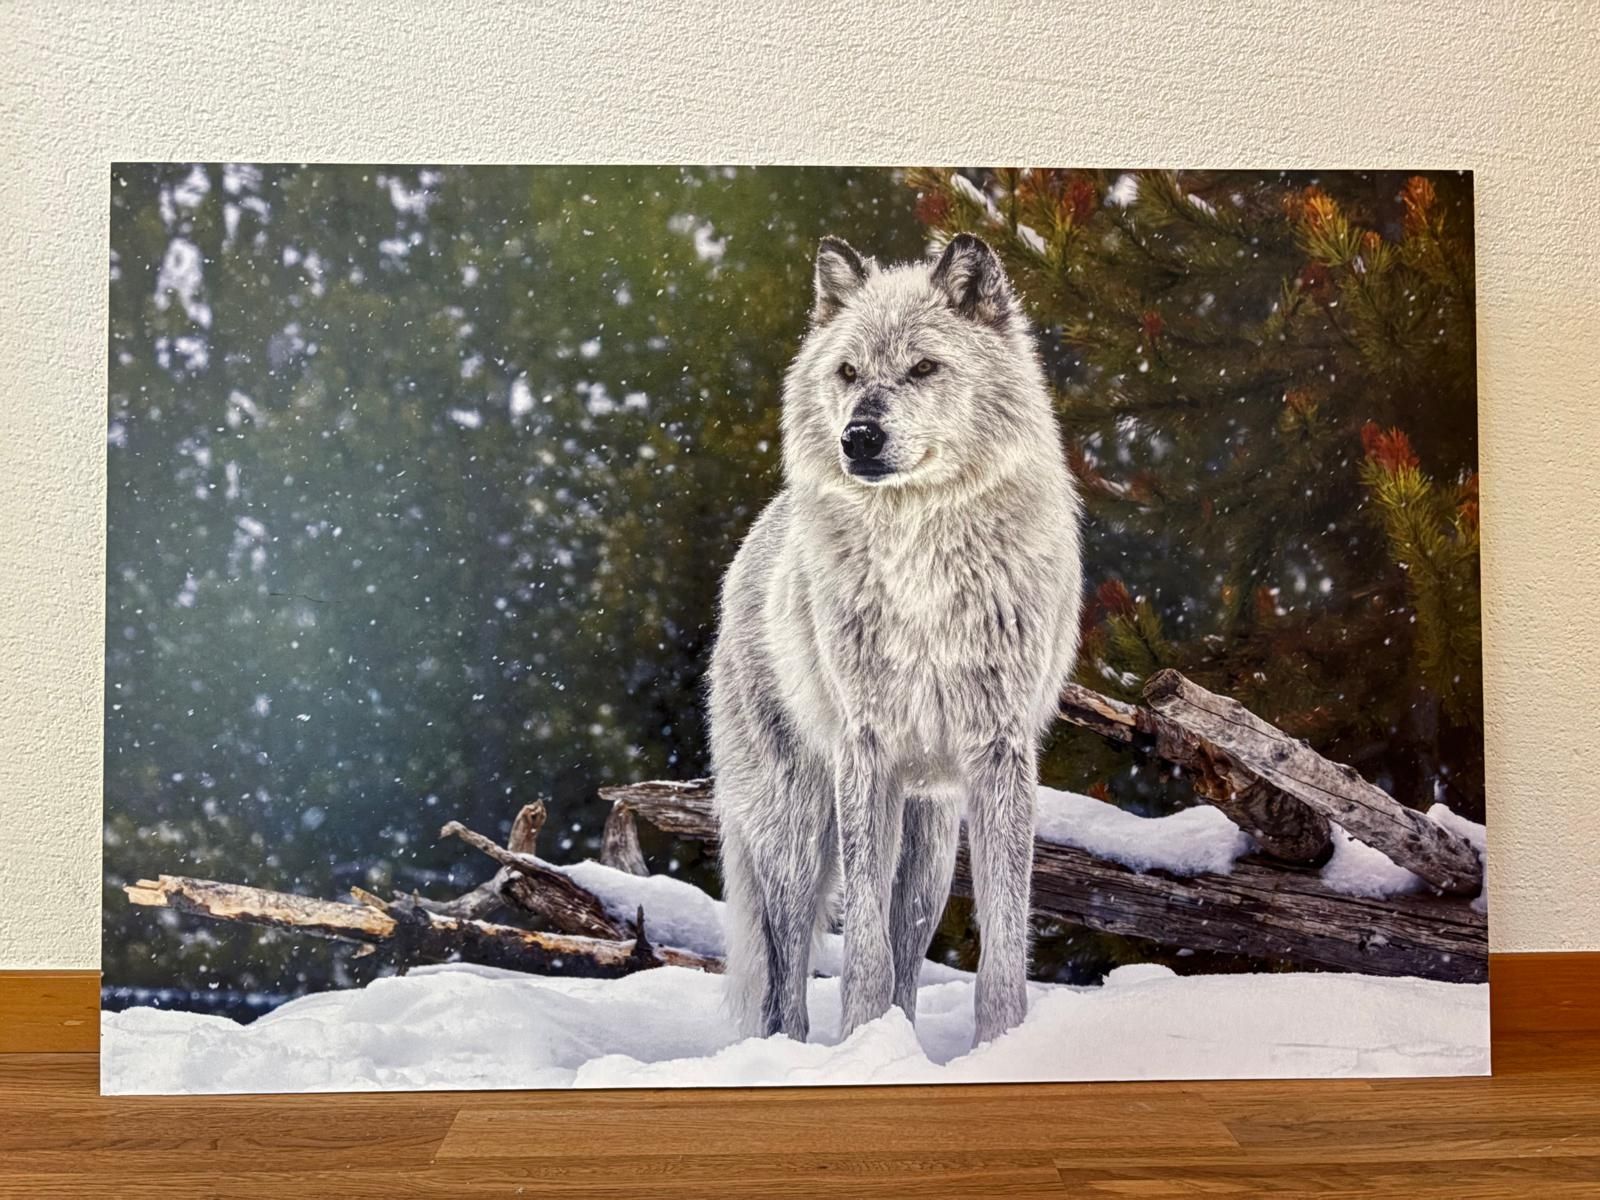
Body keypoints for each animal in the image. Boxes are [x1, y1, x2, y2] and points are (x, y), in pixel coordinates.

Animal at [708, 233, 1082, 1050]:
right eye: (848, 372)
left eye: (923, 368)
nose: (860, 436)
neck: (922, 563)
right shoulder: (866, 752)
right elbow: (863, 948)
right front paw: (860, 1046)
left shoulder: (999, 753)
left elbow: (1003, 940)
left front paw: (999, 1049)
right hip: (796, 828)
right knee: (786, 971)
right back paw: (791, 1053)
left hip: (933, 839)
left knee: (910, 932)